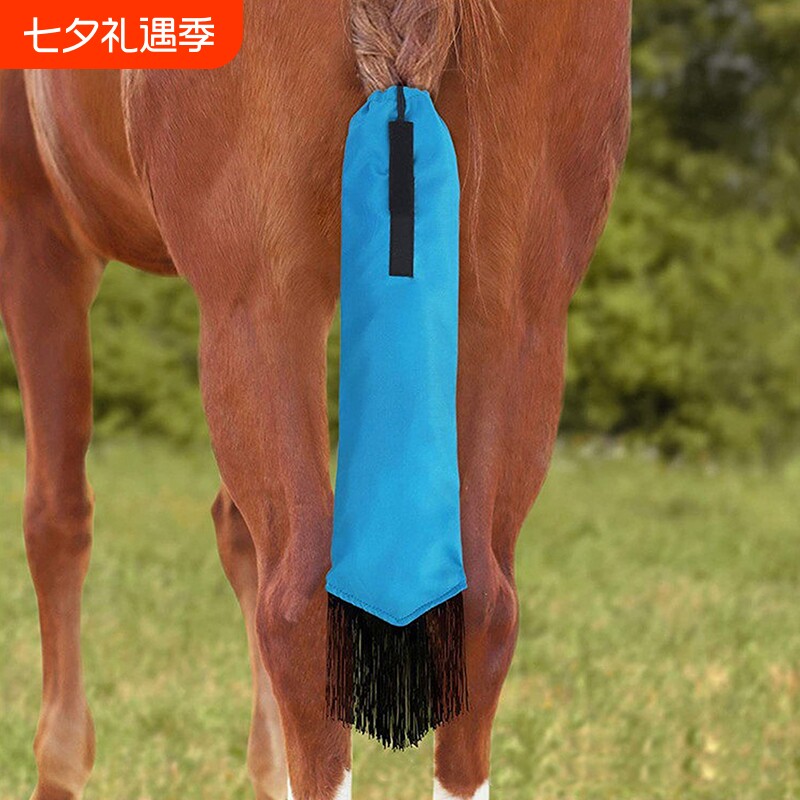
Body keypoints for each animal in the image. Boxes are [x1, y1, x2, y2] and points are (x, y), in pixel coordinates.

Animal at [0, 1, 631, 798]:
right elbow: (235, 531)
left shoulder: (35, 229)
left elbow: (55, 518)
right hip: (515, 309)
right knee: (482, 606)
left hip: (257, 302)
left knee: (296, 607)